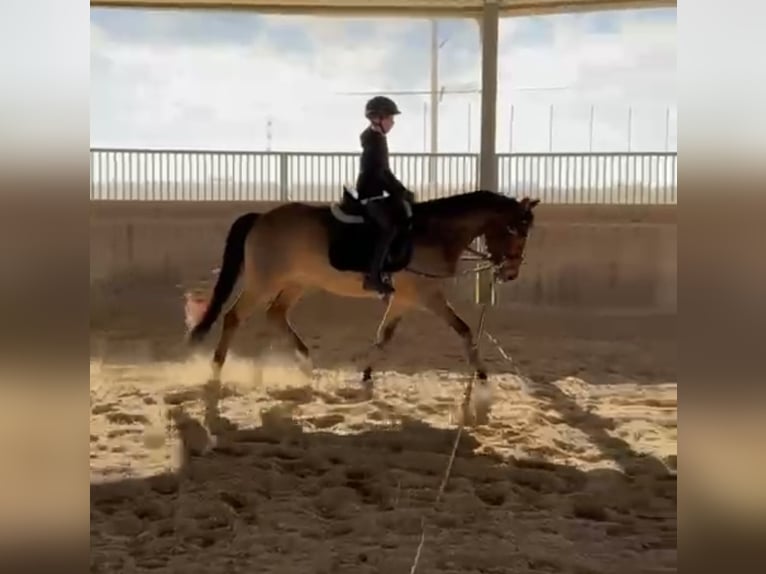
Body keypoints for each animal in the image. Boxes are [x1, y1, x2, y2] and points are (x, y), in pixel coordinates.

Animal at [186, 188, 540, 394]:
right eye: (516, 231)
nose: (510, 273)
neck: (435, 233)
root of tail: (261, 218)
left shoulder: (404, 299)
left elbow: (384, 335)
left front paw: (367, 374)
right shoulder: (428, 296)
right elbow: (464, 330)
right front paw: (482, 375)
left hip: (298, 282)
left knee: (276, 314)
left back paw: (305, 362)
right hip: (263, 282)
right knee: (233, 317)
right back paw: (215, 370)